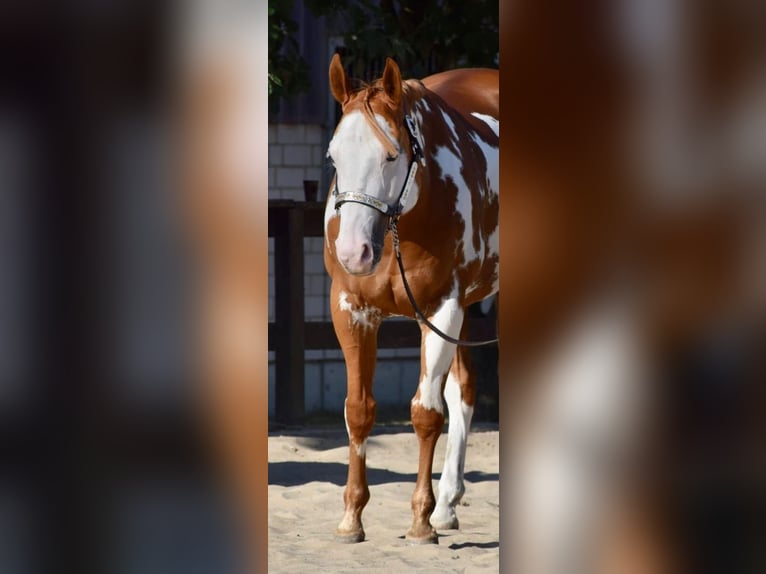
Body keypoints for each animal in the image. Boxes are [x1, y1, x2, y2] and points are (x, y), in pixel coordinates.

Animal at [322, 54, 498, 544]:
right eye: (332, 156)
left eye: (391, 155)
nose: (353, 253)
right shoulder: (351, 310)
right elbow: (359, 411)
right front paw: (351, 518)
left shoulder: (441, 309)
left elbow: (425, 413)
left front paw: (420, 520)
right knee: (465, 388)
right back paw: (449, 504)